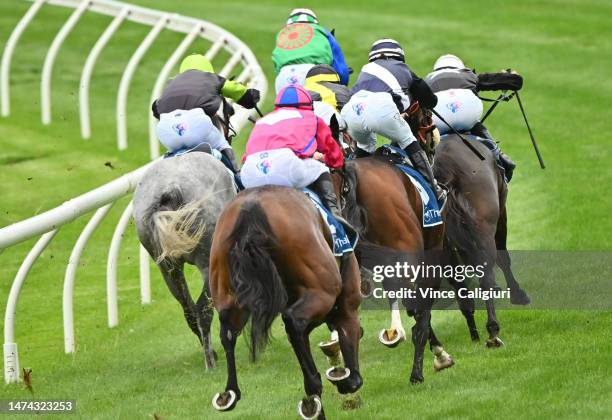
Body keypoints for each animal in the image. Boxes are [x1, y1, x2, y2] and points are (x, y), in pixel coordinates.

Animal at [133, 153, 235, 370]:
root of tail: (170, 189)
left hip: (167, 269)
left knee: (189, 311)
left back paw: (211, 354)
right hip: (208, 261)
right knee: (203, 309)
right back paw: (210, 363)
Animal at [209, 185, 364, 418]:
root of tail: (251, 208)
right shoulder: (345, 306)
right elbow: (353, 367)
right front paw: (344, 380)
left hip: (227, 294)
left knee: (228, 332)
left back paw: (230, 393)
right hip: (321, 291)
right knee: (293, 321)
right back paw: (314, 388)